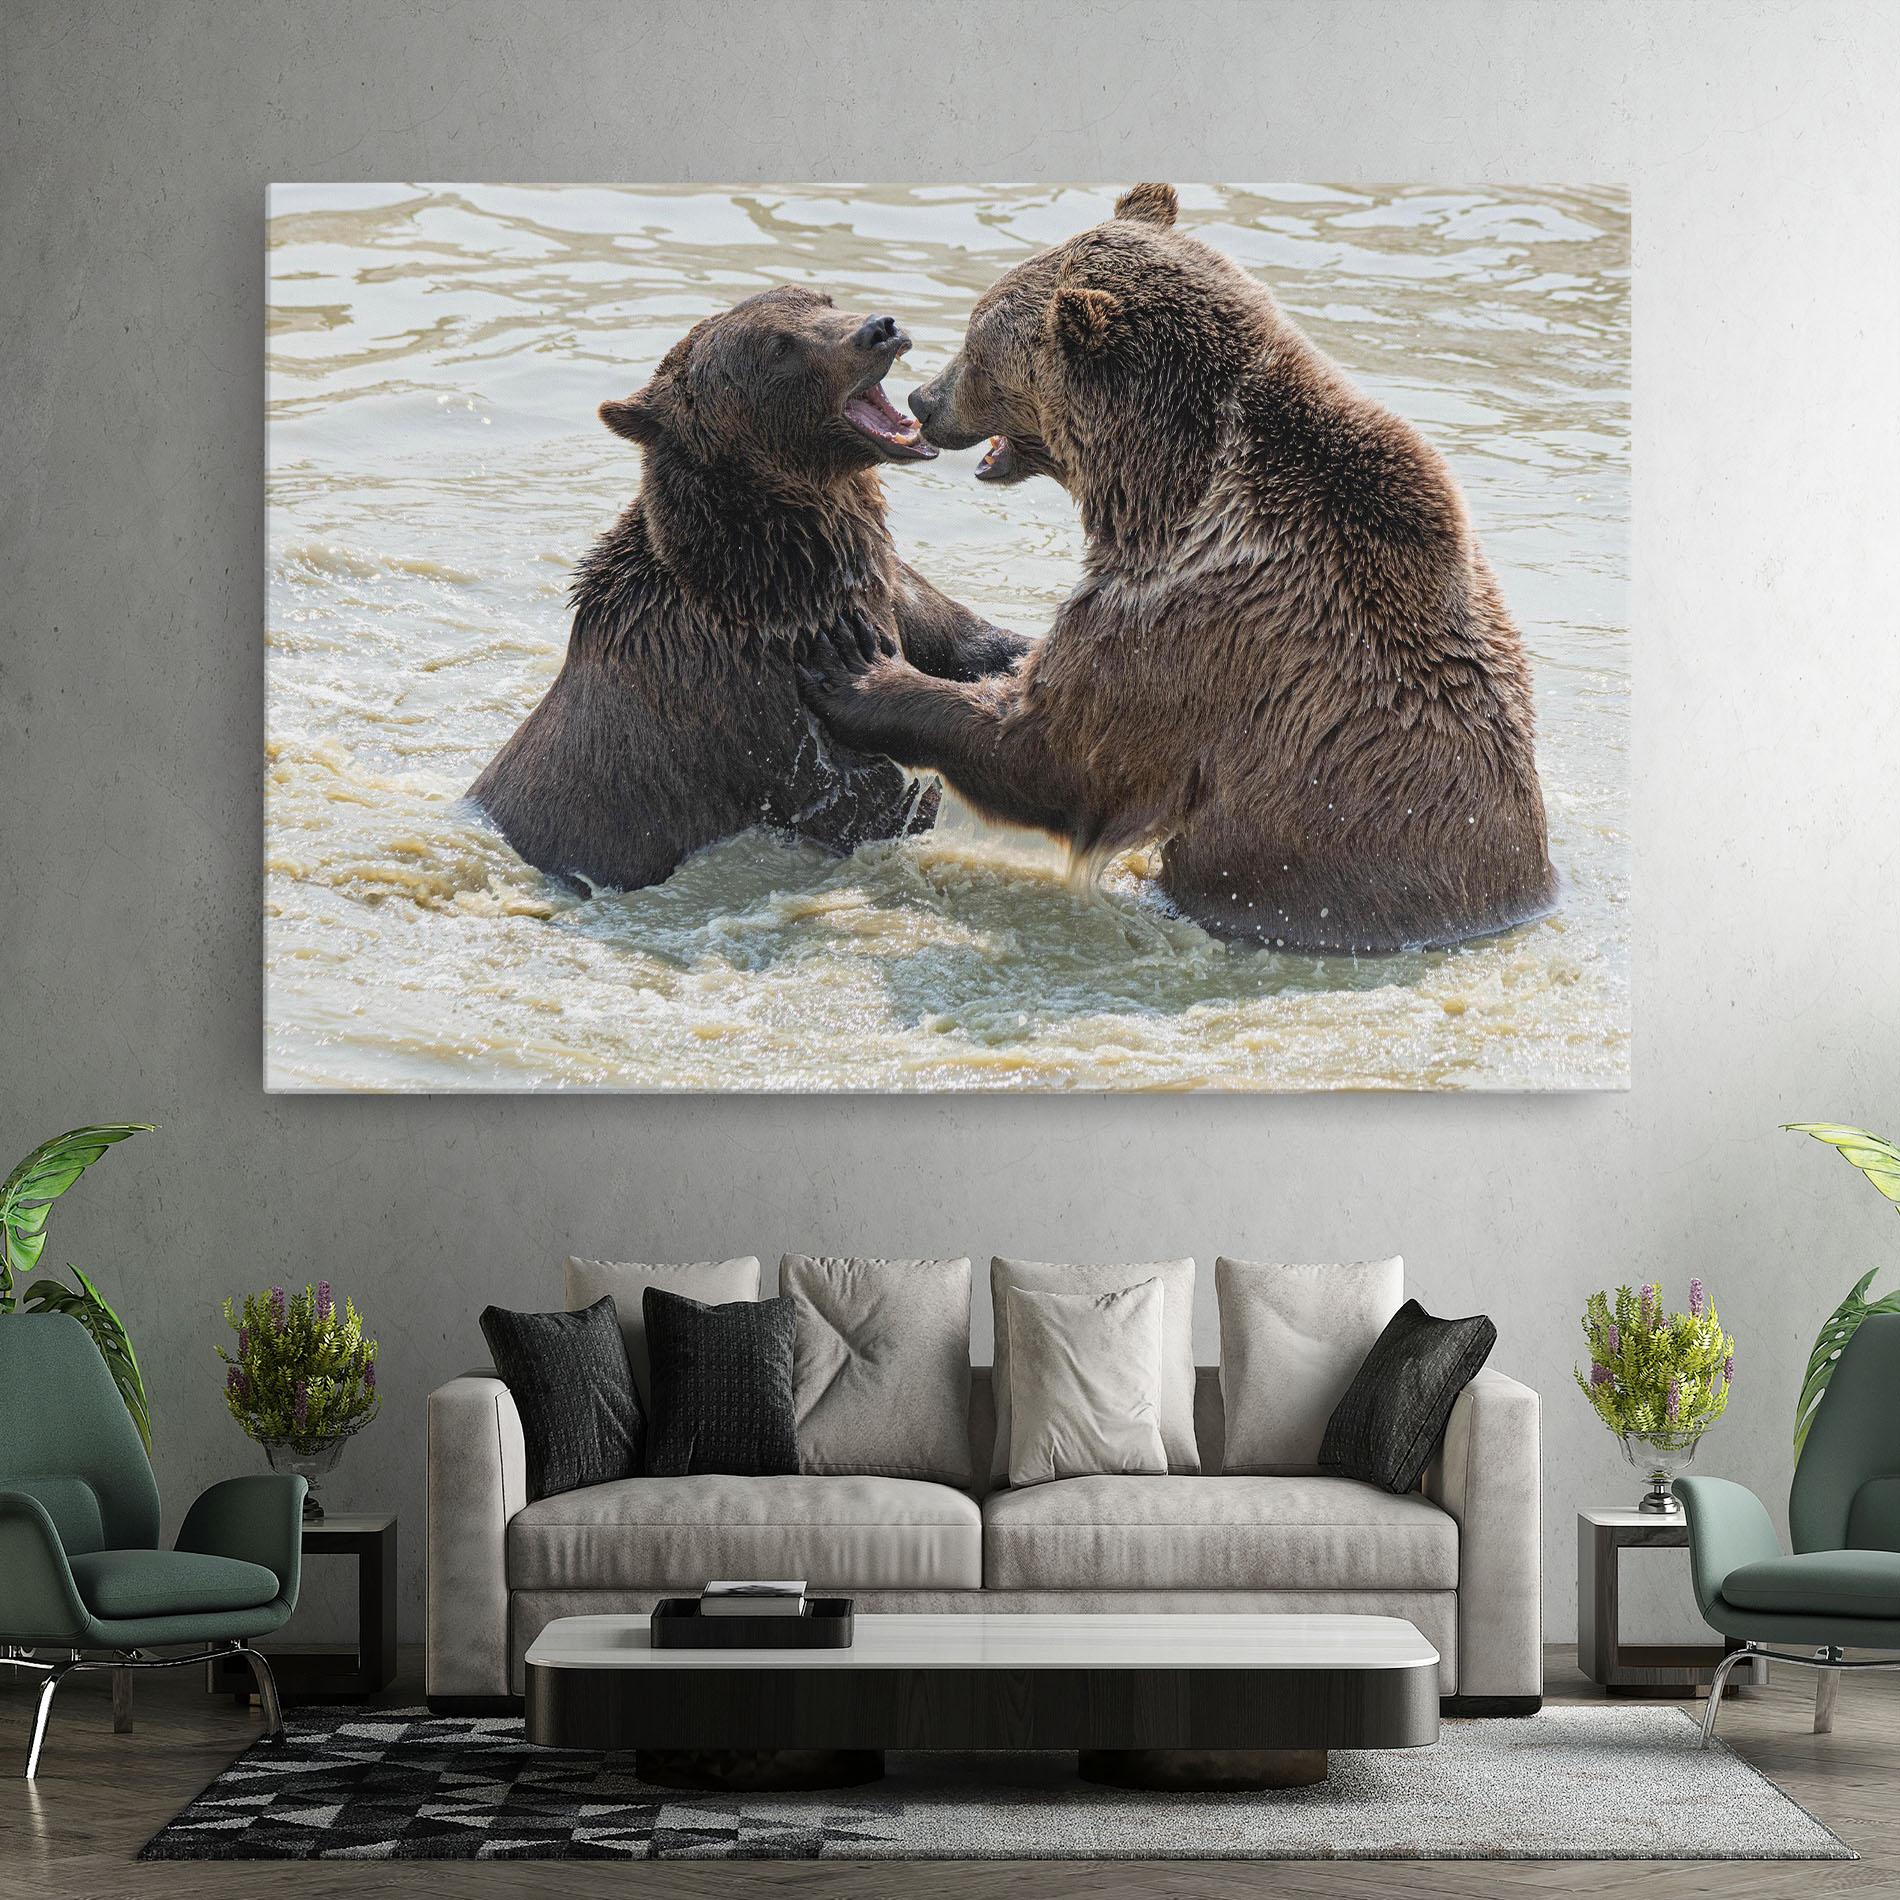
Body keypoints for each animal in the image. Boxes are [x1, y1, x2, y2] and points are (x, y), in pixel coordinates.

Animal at [468, 286, 1029, 894]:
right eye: (779, 347)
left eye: (821, 299)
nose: (879, 328)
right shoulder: (756, 698)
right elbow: (867, 798)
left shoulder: (888, 586)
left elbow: (971, 640)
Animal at [800, 184, 1558, 955]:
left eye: (977, 347)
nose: (924, 400)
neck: (1162, 491)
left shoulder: (1191, 621)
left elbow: (1056, 749)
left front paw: (858, 671)